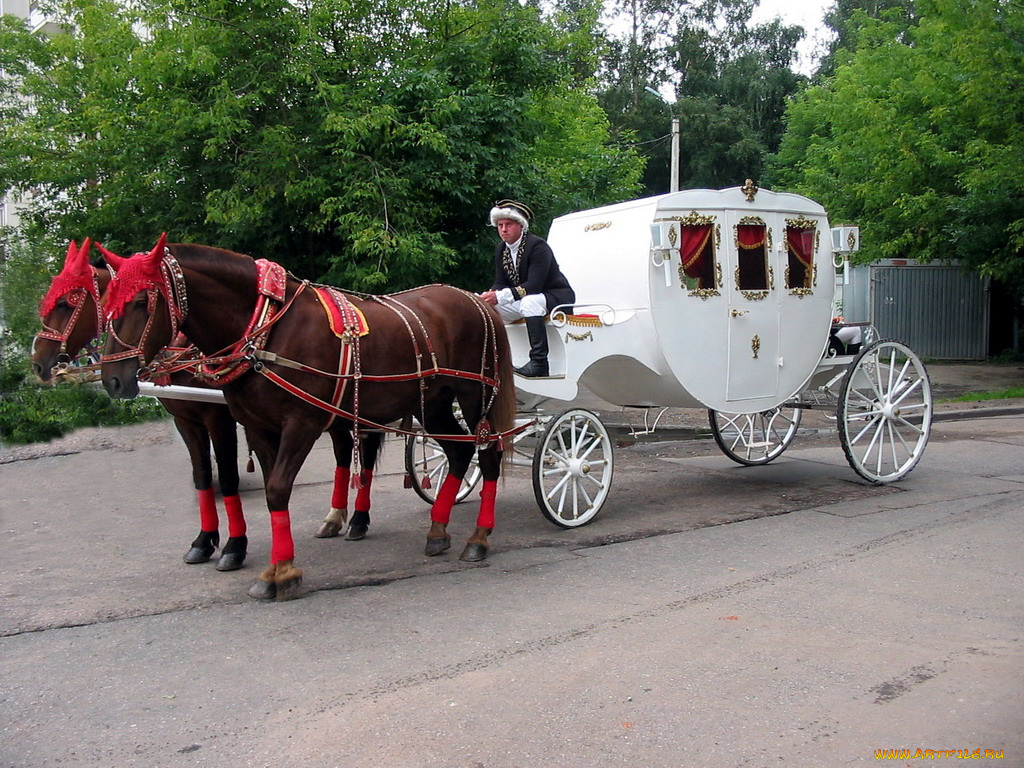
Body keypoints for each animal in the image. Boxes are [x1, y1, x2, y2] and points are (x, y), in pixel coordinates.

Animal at [98, 234, 516, 602]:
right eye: (105, 302)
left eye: (141, 301)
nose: (112, 379)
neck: (266, 330)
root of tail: (475, 300)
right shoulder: (258, 426)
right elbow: (271, 492)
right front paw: (274, 566)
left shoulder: (301, 424)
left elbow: (277, 488)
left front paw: (280, 572)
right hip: (434, 402)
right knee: (459, 452)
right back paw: (437, 530)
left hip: (475, 396)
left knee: (489, 454)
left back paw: (479, 536)